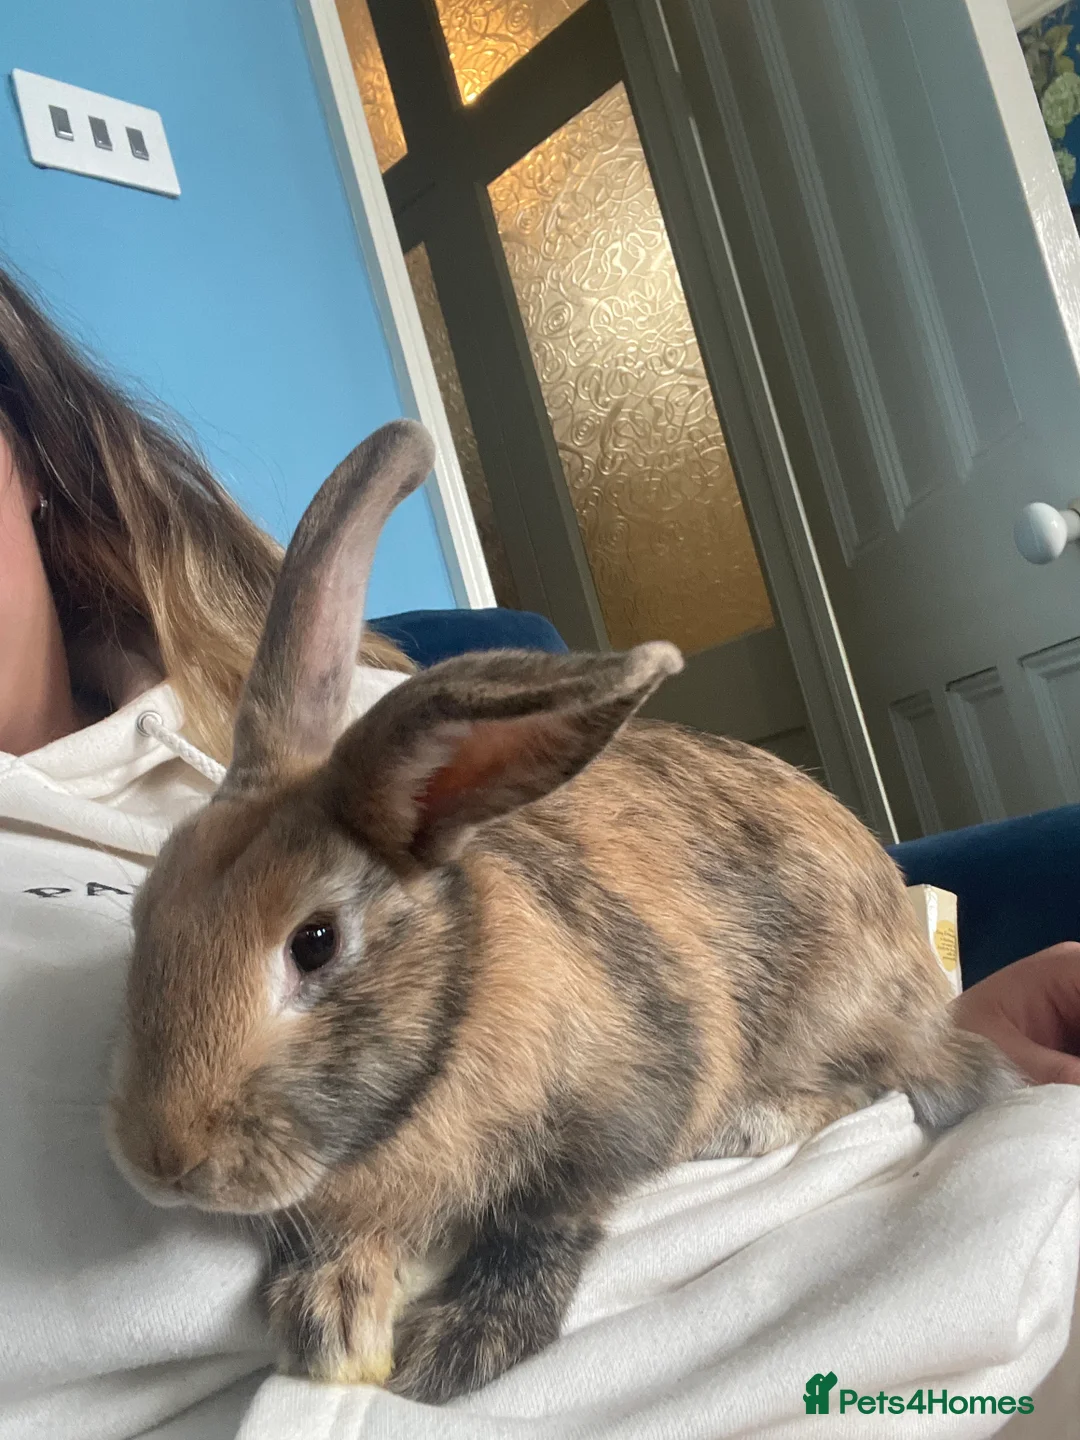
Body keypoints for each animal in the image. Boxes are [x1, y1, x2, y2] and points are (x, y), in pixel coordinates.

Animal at [106, 419, 1020, 1405]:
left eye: (314, 944)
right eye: (145, 912)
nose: (159, 1160)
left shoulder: (624, 1102)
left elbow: (544, 1219)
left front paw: (455, 1349)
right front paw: (330, 1311)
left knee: (888, 1081)